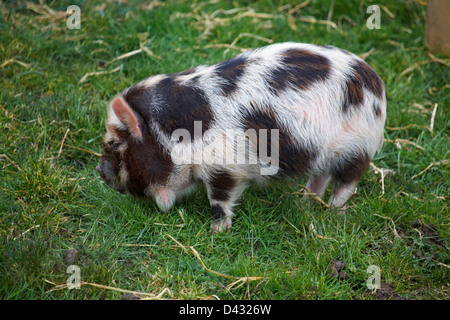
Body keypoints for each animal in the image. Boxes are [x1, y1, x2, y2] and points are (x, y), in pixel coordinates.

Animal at [96, 42, 384, 232]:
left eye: (116, 142)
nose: (99, 170)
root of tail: (376, 83)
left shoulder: (226, 166)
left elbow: (220, 199)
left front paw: (216, 231)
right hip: (322, 152)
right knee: (320, 177)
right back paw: (305, 205)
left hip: (357, 147)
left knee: (347, 183)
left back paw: (331, 214)